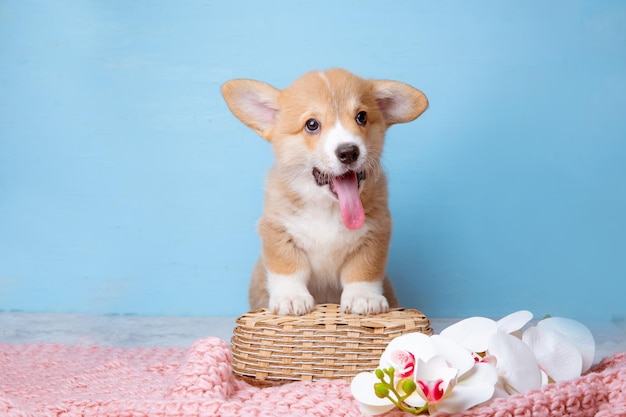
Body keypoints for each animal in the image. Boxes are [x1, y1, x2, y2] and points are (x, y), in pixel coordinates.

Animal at [222, 69, 426, 316]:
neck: (328, 208)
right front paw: (291, 298)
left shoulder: (375, 234)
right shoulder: (277, 231)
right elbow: (288, 268)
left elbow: (364, 270)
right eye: (312, 124)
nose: (348, 152)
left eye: (361, 117)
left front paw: (364, 297)